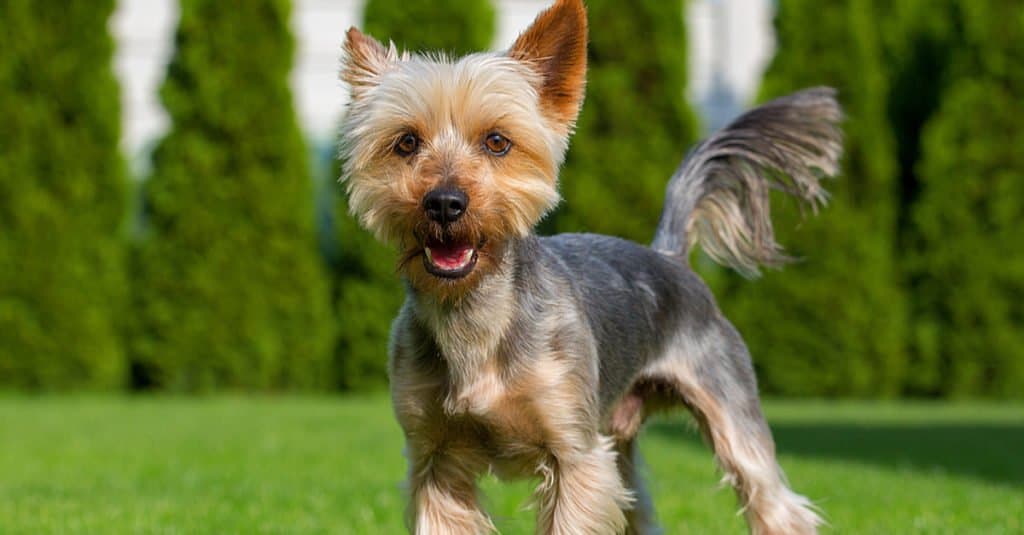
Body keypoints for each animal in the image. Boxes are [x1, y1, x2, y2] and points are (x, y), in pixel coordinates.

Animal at [335, 2, 839, 528]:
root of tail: (667, 257)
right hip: (621, 448)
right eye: (406, 143)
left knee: (771, 497)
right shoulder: (433, 458)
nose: (445, 203)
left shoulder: (575, 453)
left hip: (727, 397)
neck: (474, 316)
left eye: (497, 141)